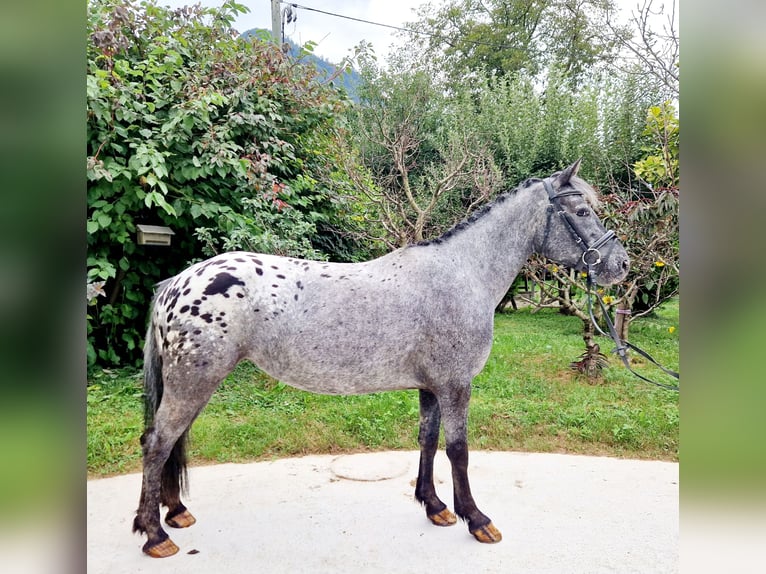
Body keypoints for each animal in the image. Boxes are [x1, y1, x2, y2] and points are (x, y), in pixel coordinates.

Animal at [132, 161, 632, 560]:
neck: (462, 274)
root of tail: (178, 282)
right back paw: (155, 535)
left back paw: (176, 513)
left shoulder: (432, 386)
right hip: (193, 382)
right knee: (158, 442)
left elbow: (428, 441)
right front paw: (476, 519)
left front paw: (435, 508)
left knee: (171, 442)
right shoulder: (456, 385)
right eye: (582, 212)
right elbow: (459, 450)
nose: (621, 265)